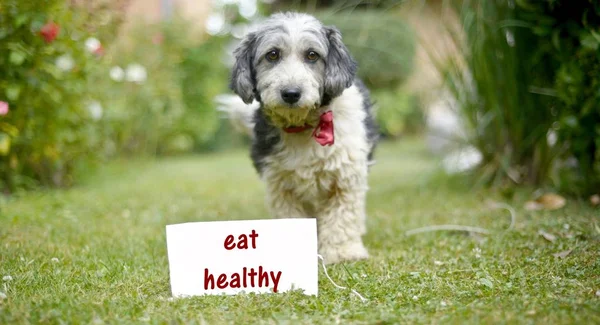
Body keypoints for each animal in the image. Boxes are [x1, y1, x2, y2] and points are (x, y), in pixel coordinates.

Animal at [217, 12, 380, 264]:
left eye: (312, 55)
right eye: (272, 54)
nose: (291, 93)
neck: (303, 126)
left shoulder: (345, 178)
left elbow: (342, 216)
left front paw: (341, 251)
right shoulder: (280, 184)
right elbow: (291, 217)